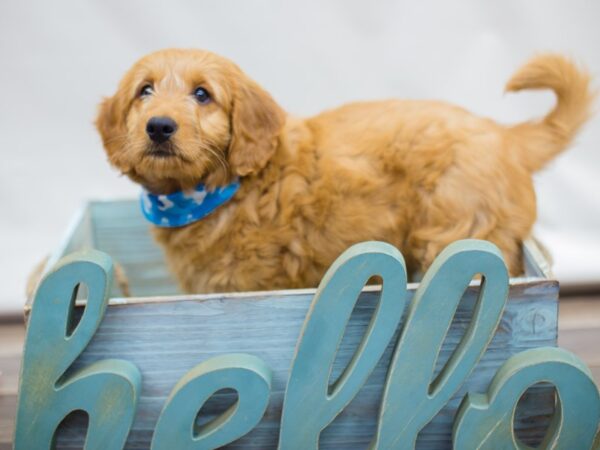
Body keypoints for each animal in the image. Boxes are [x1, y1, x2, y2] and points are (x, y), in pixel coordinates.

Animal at [96, 49, 592, 294]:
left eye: (203, 95)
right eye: (144, 92)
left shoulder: (243, 284)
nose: (159, 126)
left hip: (461, 230)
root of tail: (505, 135)